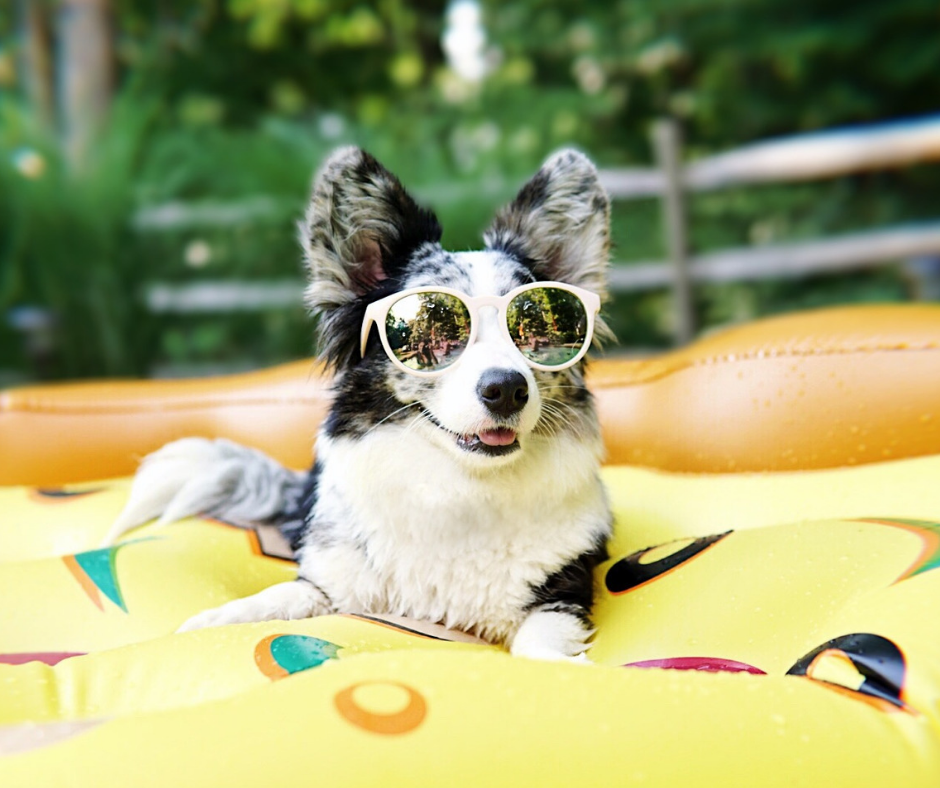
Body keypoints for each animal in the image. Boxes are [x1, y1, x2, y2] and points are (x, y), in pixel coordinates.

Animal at [106, 146, 612, 660]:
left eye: (533, 329)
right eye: (435, 328)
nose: (507, 389)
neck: (461, 488)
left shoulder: (562, 594)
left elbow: (540, 648)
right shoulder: (334, 583)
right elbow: (285, 595)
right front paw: (217, 619)